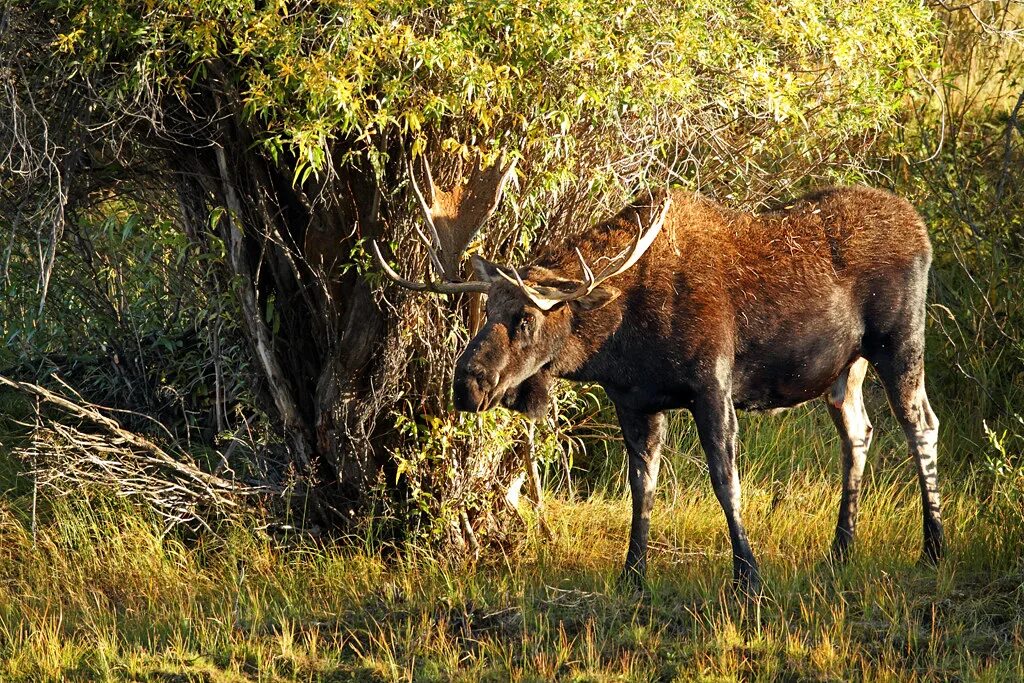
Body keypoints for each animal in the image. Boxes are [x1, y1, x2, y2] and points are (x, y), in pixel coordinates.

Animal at [376, 156, 942, 593]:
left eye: (526, 318)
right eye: (485, 311)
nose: (467, 383)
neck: (620, 337)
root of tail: (922, 228)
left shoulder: (712, 385)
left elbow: (725, 481)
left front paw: (747, 575)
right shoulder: (635, 401)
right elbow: (640, 487)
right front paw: (633, 574)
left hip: (899, 341)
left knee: (922, 424)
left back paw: (933, 546)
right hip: (845, 367)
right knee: (859, 431)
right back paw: (841, 549)